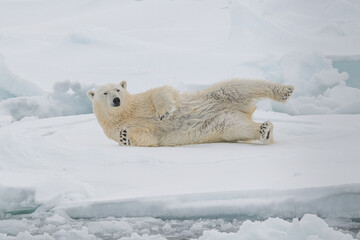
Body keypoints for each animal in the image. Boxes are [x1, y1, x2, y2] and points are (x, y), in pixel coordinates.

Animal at [87, 79, 292, 146]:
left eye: (117, 89)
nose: (116, 100)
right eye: (105, 93)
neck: (125, 113)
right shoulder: (114, 128)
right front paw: (125, 137)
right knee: (234, 126)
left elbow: (160, 92)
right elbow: (148, 137)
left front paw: (165, 112)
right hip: (219, 122)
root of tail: (244, 110)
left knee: (238, 87)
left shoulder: (140, 101)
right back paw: (264, 130)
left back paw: (284, 91)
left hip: (219, 95)